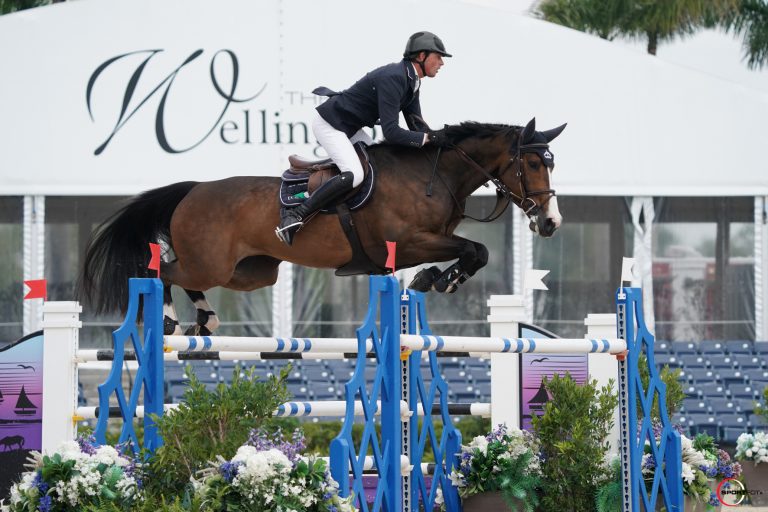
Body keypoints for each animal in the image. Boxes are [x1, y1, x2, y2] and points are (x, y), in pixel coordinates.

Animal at [79, 119, 564, 336]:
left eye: (551, 163)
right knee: (159, 270)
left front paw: (439, 280)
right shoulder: (408, 243)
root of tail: (192, 190)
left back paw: (204, 318)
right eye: (533, 164)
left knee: (185, 277)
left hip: (251, 273)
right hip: (210, 263)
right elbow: (472, 250)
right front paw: (435, 279)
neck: (432, 175)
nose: (551, 223)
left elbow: (474, 252)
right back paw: (172, 320)